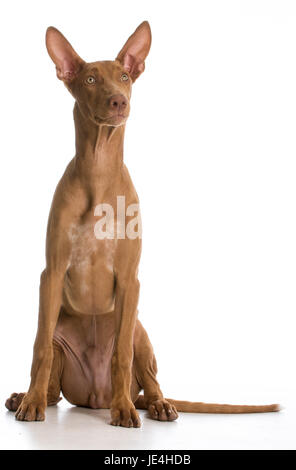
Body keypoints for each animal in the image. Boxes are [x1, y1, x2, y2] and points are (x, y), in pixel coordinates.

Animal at [5, 21, 280, 426]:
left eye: (123, 76)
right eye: (90, 79)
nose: (119, 101)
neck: (99, 171)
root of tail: (95, 397)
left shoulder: (129, 278)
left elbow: (121, 356)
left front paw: (123, 411)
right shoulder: (51, 274)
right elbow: (39, 350)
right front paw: (32, 403)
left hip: (139, 330)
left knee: (146, 379)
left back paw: (153, 404)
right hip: (60, 330)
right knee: (55, 383)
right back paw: (27, 397)